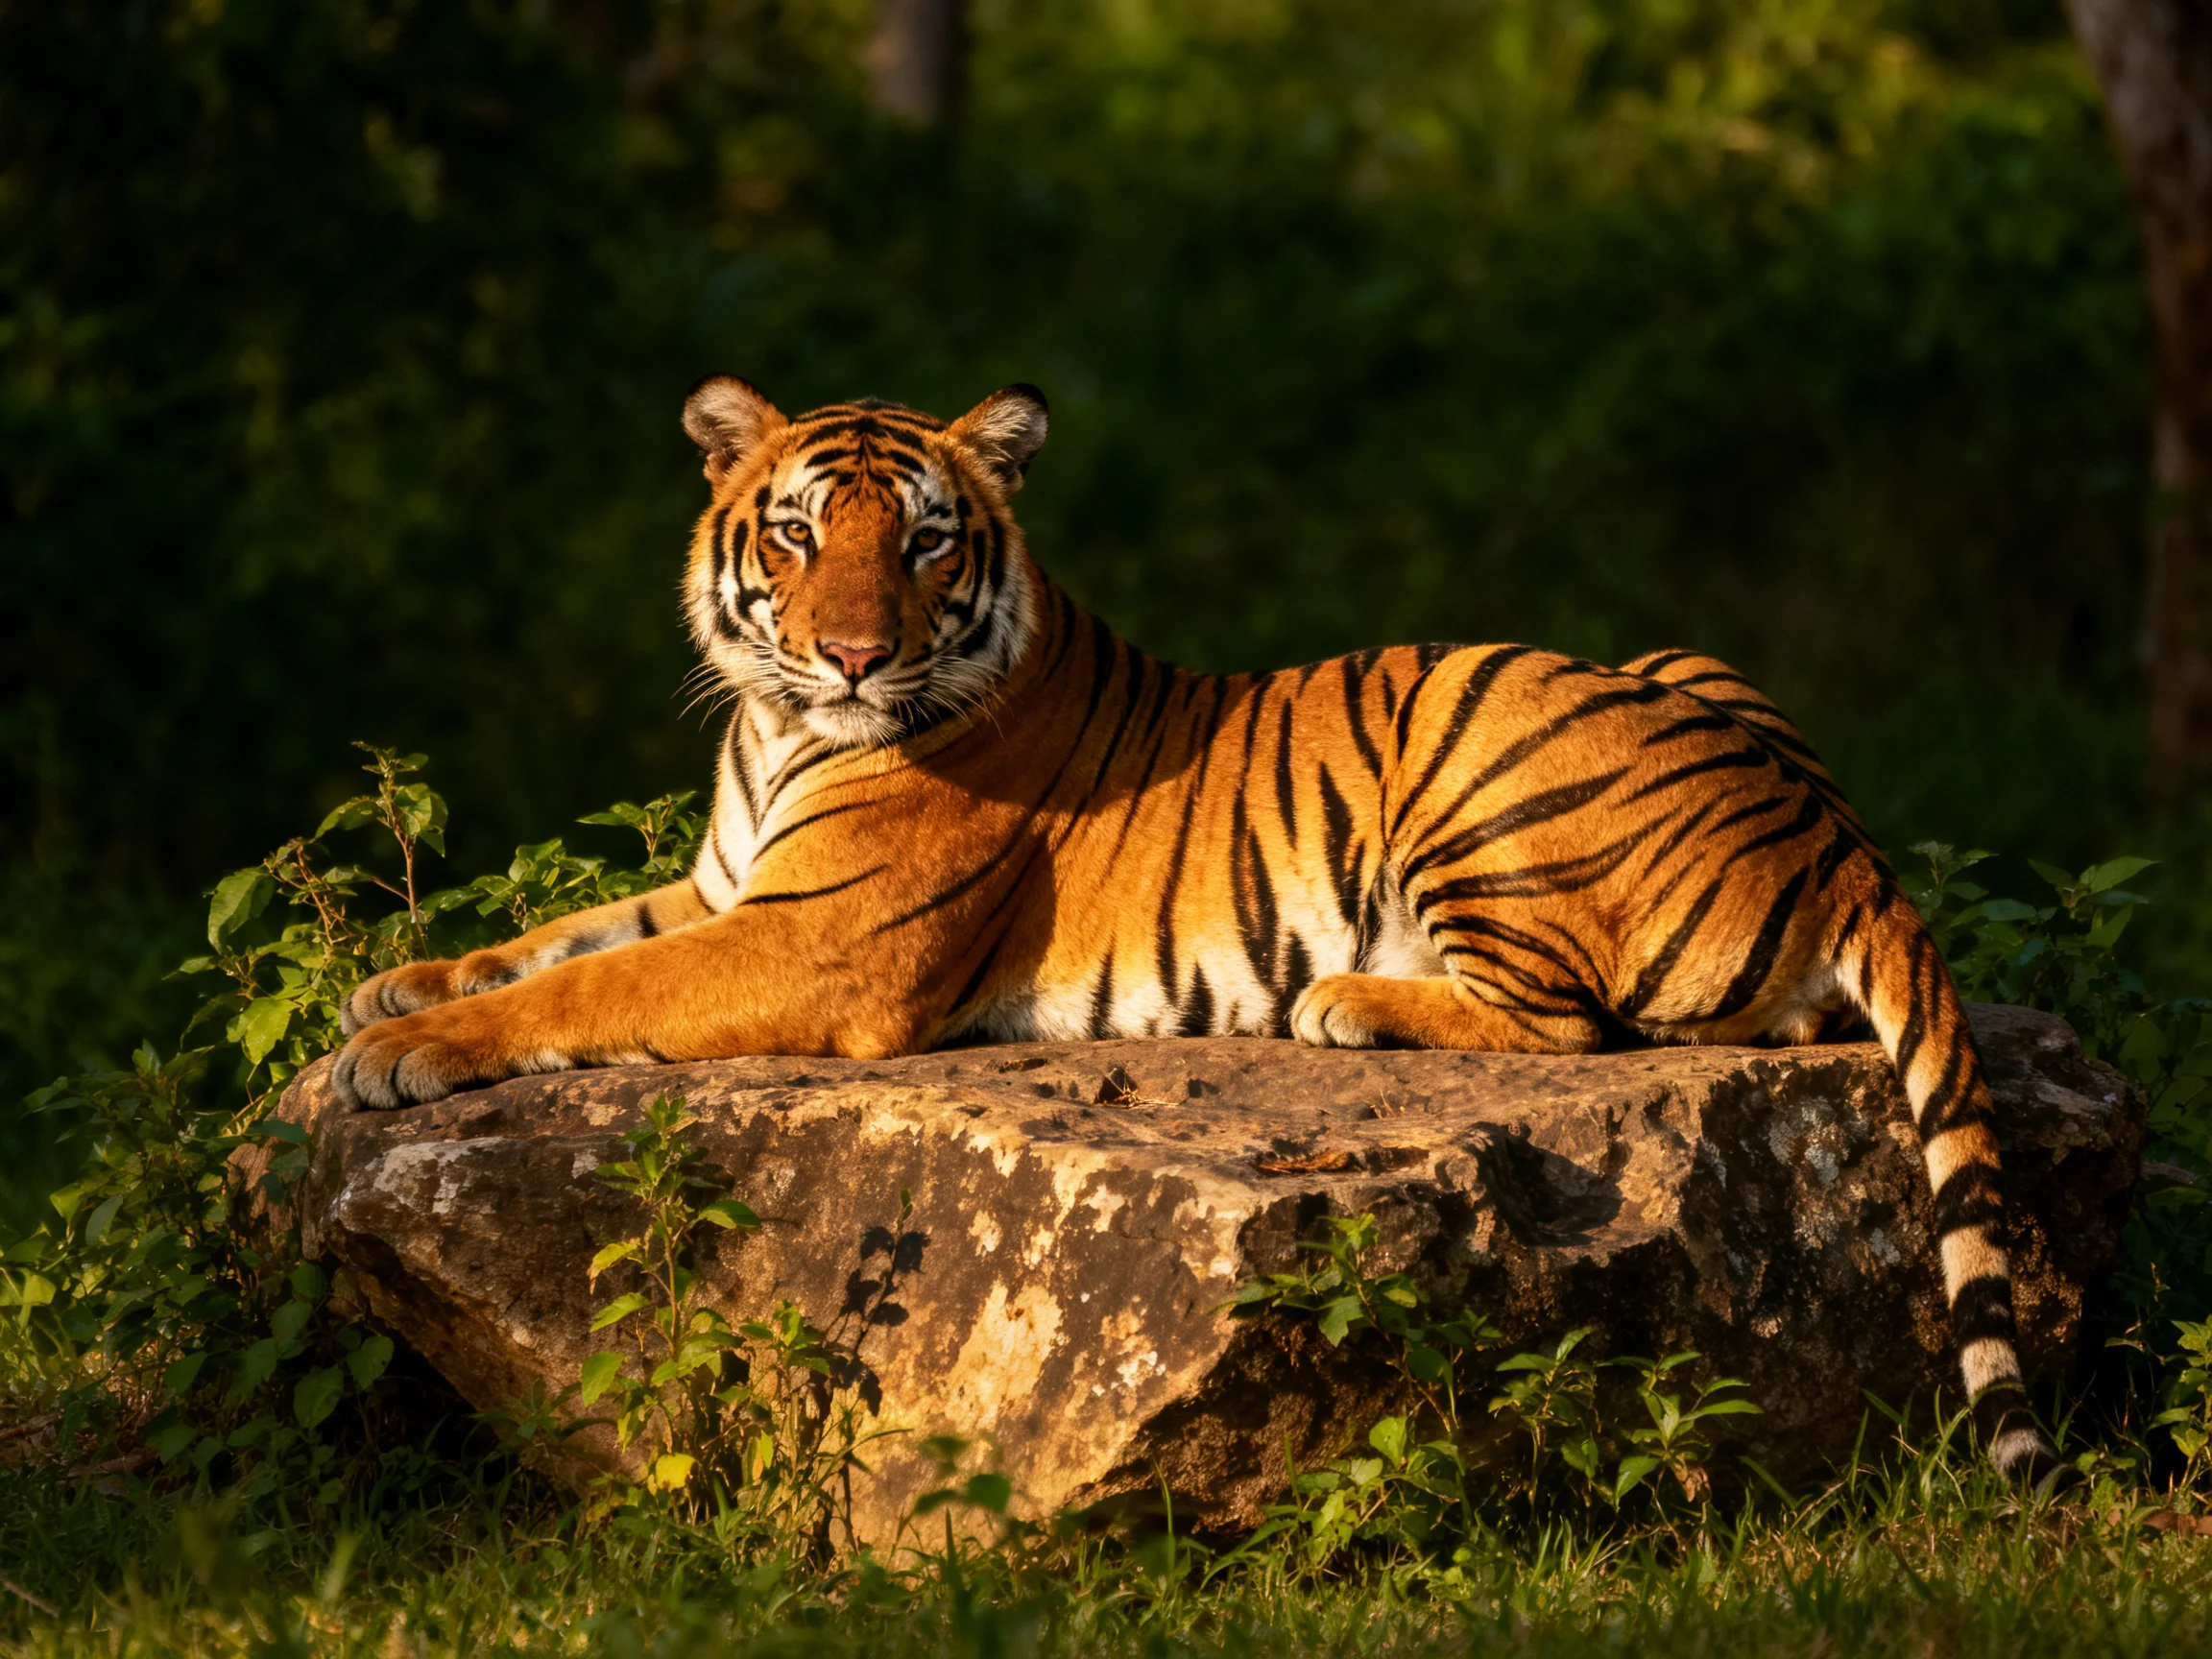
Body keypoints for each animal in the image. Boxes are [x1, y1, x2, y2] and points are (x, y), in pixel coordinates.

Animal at [330, 375, 2060, 1486]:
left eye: (926, 540)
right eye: (796, 534)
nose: (850, 655)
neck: (776, 726)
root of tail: (1840, 842)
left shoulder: (815, 940)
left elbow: (596, 982)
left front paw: (398, 1055)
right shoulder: (718, 886)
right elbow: (556, 938)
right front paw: (390, 985)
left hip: (1473, 739)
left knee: (1578, 1019)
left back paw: (1350, 999)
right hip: (1684, 652)